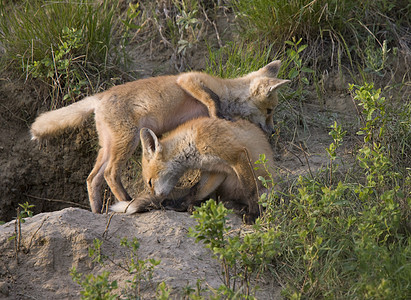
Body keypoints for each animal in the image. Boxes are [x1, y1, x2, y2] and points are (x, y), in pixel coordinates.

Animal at [111, 117, 276, 223]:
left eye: (150, 183)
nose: (156, 198)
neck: (192, 143)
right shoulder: (216, 170)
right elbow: (196, 191)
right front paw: (181, 205)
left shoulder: (237, 155)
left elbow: (251, 191)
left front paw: (254, 214)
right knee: (216, 199)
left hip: (268, 190)